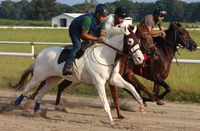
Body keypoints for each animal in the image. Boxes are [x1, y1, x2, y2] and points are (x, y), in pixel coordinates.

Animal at [14, 26, 145, 125]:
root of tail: (40, 54)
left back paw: (36, 113)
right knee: (25, 90)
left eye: (138, 41)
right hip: (39, 76)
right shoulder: (99, 82)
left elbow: (131, 87)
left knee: (40, 94)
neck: (105, 56)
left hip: (53, 79)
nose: (140, 58)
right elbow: (105, 103)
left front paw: (141, 105)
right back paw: (14, 105)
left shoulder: (114, 79)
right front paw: (111, 121)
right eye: (130, 41)